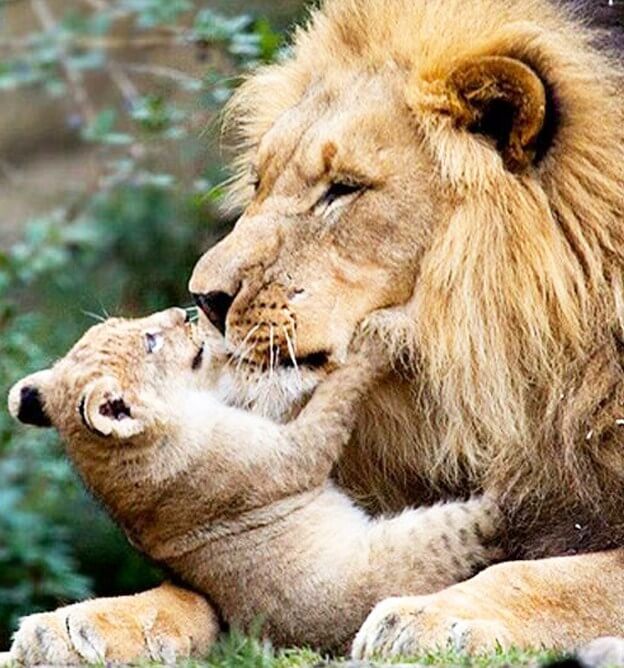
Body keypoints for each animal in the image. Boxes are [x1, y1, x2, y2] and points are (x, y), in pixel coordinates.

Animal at [7, 308, 502, 661]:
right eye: (150, 342)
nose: (181, 312)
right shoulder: (288, 456)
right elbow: (334, 397)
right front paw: (376, 338)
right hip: (422, 540)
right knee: (488, 523)